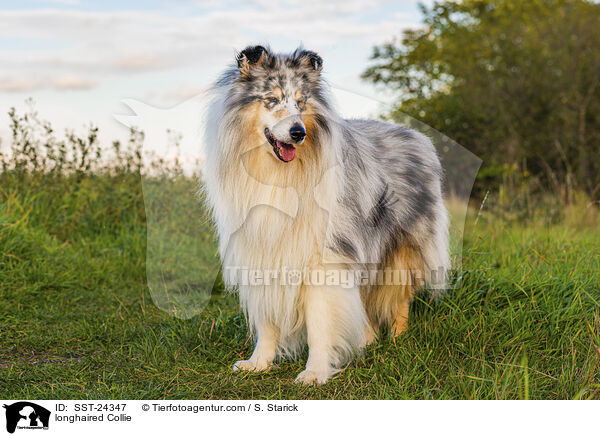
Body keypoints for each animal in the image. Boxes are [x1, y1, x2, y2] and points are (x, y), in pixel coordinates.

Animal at [203, 45, 450, 384]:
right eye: (272, 100)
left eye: (301, 102)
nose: (298, 133)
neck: (278, 175)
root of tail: (418, 136)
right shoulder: (263, 251)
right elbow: (268, 321)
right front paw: (258, 363)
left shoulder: (325, 257)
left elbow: (320, 320)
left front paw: (315, 372)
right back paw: (367, 341)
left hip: (402, 248)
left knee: (399, 298)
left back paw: (399, 341)